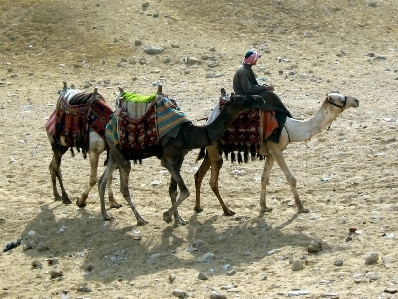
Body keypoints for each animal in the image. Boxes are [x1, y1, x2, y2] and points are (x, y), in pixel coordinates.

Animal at [46, 81, 118, 209]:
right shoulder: (93, 152)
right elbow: (93, 179)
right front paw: (81, 201)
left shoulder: (110, 153)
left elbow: (109, 177)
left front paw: (112, 202)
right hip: (56, 145)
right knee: (56, 168)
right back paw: (65, 197)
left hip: (63, 146)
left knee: (52, 166)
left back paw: (57, 195)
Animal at [96, 90, 264, 226]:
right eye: (242, 99)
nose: (260, 98)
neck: (188, 135)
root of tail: (109, 123)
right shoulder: (167, 160)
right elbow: (184, 190)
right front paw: (167, 216)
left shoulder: (180, 158)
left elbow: (173, 190)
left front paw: (178, 219)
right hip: (119, 152)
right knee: (124, 186)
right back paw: (140, 219)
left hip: (114, 154)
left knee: (102, 180)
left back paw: (105, 215)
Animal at [194, 92, 360, 217]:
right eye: (341, 99)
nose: (356, 100)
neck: (291, 127)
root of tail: (208, 120)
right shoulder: (277, 150)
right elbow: (291, 178)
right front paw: (301, 207)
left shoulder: (271, 154)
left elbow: (264, 179)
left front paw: (264, 207)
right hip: (215, 150)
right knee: (213, 181)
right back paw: (227, 211)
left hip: (212, 151)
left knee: (199, 174)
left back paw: (198, 208)